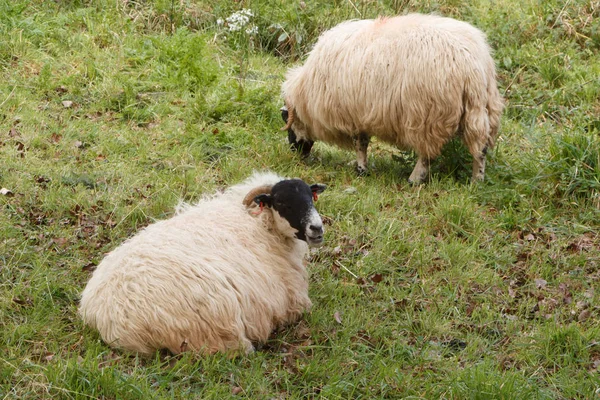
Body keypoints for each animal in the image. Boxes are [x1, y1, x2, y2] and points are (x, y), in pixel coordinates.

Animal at [79, 172, 328, 356]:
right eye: (282, 203)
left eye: (311, 197)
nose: (317, 229)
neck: (261, 223)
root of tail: (110, 321)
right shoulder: (292, 300)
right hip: (217, 320)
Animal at [280, 12, 502, 184]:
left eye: (291, 122)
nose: (295, 153)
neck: (307, 93)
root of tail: (472, 63)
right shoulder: (360, 113)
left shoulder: (354, 114)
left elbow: (360, 144)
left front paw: (361, 170)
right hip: (484, 107)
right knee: (481, 148)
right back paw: (476, 181)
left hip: (429, 115)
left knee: (427, 154)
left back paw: (414, 179)